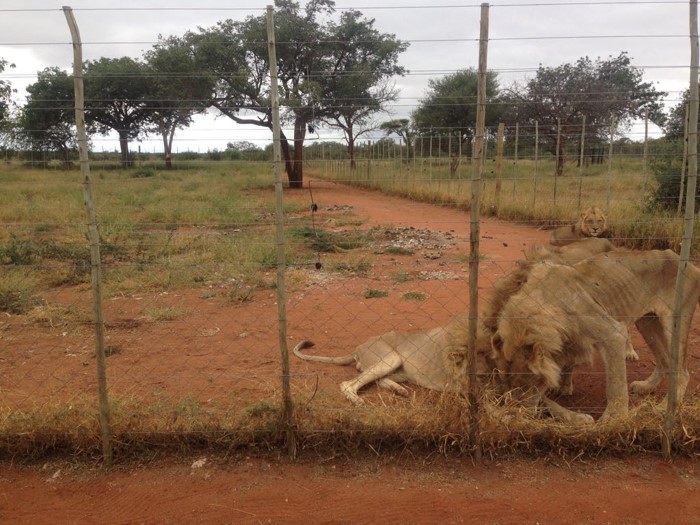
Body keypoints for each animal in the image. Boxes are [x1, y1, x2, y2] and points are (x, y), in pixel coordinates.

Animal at [293, 318, 479, 404]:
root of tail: (359, 347)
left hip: (401, 370)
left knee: (379, 380)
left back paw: (400, 390)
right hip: (391, 357)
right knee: (347, 384)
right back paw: (358, 401)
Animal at [490, 249, 700, 424]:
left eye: (523, 385)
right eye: (507, 384)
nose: (515, 413)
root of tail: (688, 262)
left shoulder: (613, 333)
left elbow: (616, 387)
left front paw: (614, 422)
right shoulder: (570, 343)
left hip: (675, 323)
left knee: (682, 372)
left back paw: (664, 409)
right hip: (647, 323)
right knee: (664, 361)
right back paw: (645, 387)